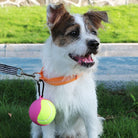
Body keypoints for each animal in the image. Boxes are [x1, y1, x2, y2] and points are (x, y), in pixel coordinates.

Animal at [30, 3, 108, 138]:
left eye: (93, 32)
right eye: (74, 33)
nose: (95, 43)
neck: (69, 73)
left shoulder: (89, 115)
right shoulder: (48, 122)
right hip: (35, 125)